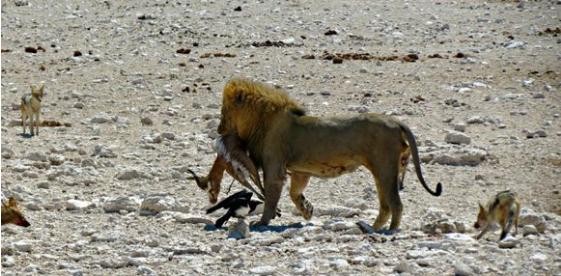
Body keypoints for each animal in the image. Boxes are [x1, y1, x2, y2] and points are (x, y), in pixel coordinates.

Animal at [217, 78, 440, 231]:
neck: (262, 121)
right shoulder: (300, 171)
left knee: (396, 203)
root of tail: (396, 122)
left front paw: (262, 222)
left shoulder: (274, 170)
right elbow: (294, 193)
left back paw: (389, 231)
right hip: (381, 171)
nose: (218, 129)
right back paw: (372, 228)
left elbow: (272, 199)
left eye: (224, 111)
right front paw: (307, 210)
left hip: (385, 168)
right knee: (385, 206)